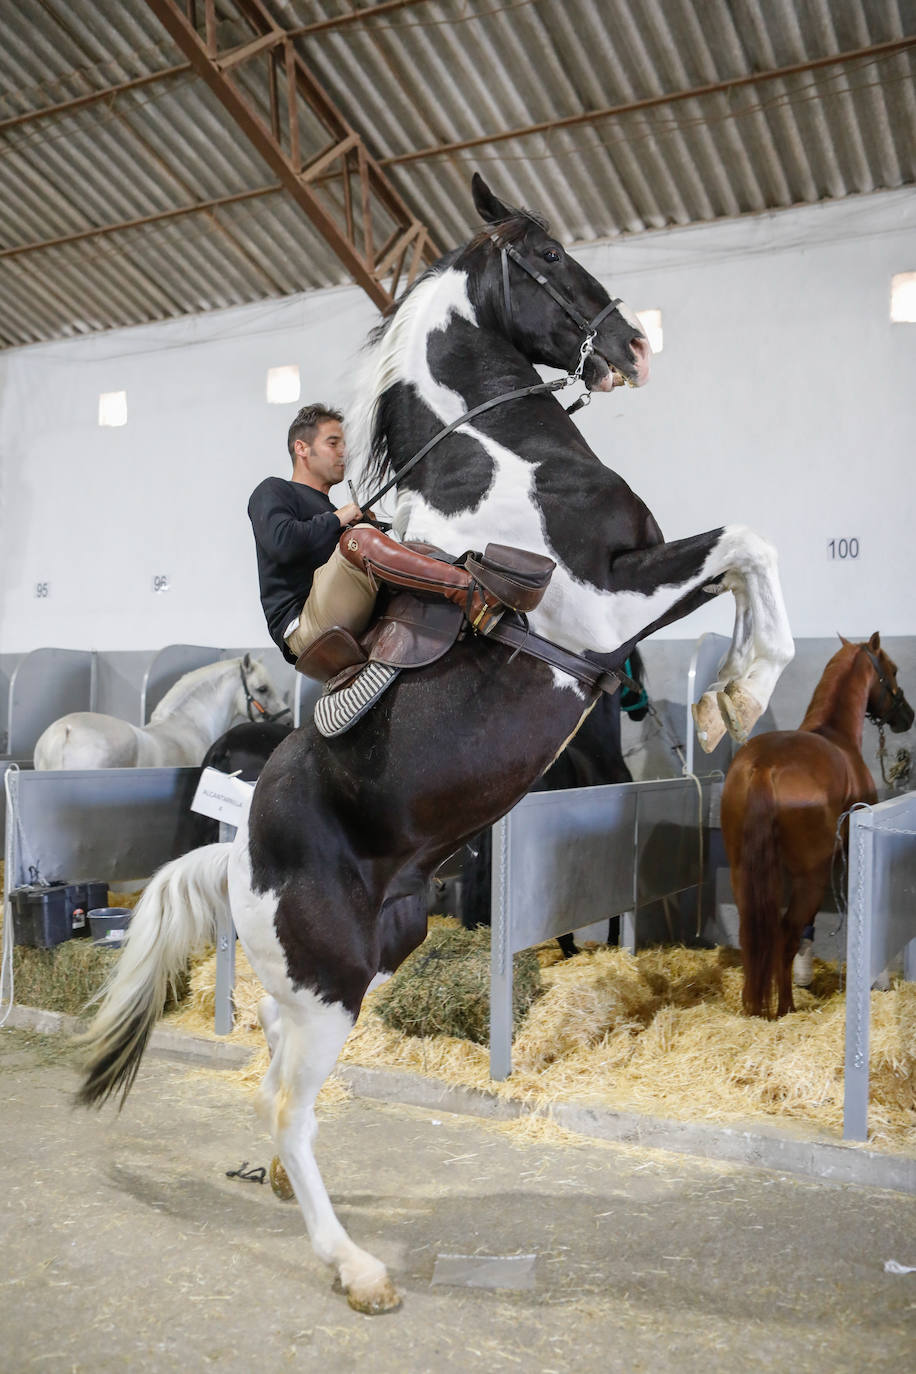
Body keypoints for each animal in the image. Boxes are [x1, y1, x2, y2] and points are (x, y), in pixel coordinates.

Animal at [76, 173, 796, 1316]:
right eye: (544, 260)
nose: (633, 347)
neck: (497, 458)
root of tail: (236, 857)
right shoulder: (604, 602)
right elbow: (748, 544)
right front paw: (745, 689)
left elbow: (741, 559)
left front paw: (729, 696)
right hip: (329, 986)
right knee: (286, 1106)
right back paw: (356, 1268)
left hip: (356, 965)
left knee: (275, 1075)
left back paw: (284, 1190)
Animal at [720, 633, 913, 1019]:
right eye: (894, 670)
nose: (907, 717)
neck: (835, 734)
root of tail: (764, 766)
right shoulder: (844, 856)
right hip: (811, 875)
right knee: (786, 934)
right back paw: (785, 1007)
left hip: (743, 872)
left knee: (757, 933)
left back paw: (755, 1005)